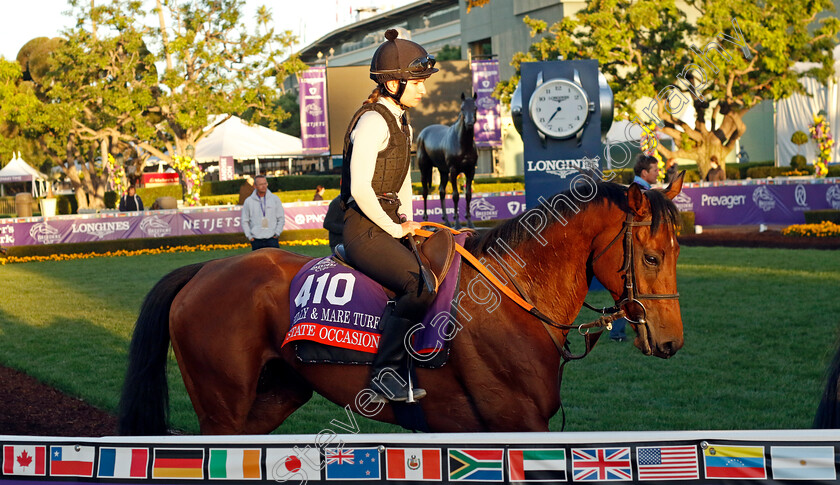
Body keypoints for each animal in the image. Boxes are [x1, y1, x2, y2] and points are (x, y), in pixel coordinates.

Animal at [120, 175, 684, 434]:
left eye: (679, 250)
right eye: (652, 256)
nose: (671, 341)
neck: (513, 295)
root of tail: (205, 269)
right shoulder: (515, 421)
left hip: (276, 393)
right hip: (222, 410)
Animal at [416, 92, 476, 229]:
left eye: (475, 108)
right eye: (462, 108)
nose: (469, 123)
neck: (463, 143)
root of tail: (422, 134)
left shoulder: (470, 171)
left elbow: (468, 195)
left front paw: (470, 223)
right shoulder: (454, 171)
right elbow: (455, 195)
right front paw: (457, 224)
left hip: (443, 171)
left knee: (441, 191)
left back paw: (447, 222)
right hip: (424, 169)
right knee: (425, 192)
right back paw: (426, 221)